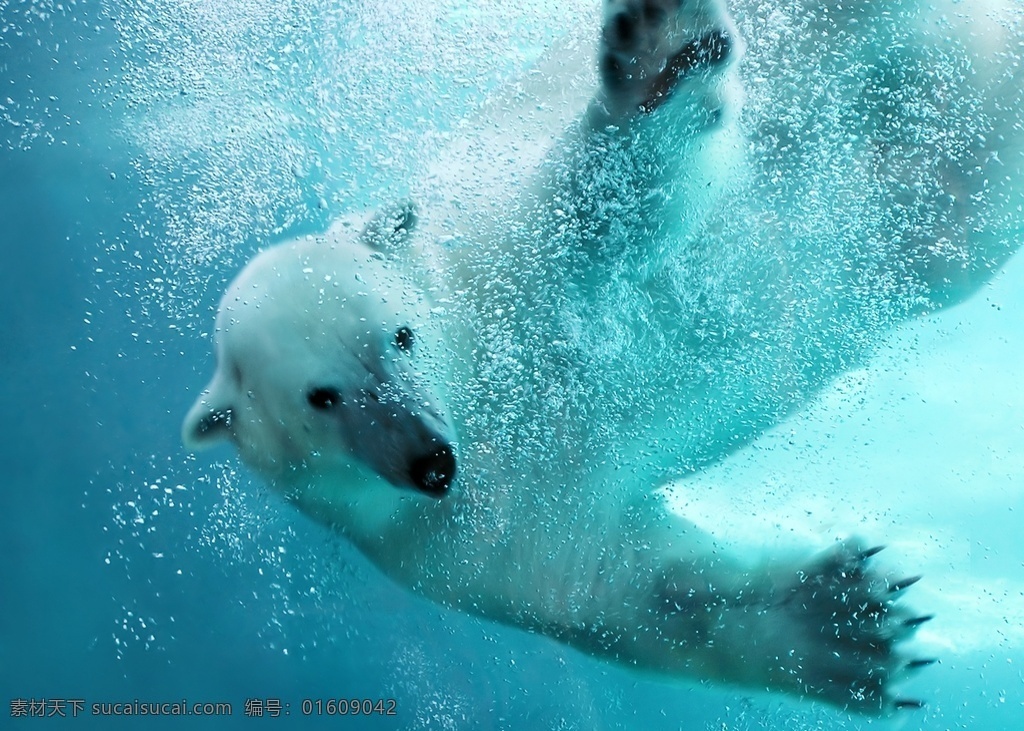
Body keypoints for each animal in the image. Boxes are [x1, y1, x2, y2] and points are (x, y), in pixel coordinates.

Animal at [182, 0, 1021, 716]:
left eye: (400, 335)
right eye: (321, 398)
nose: (432, 461)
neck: (480, 386)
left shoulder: (506, 254)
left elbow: (608, 200)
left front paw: (660, 56)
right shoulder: (460, 542)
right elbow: (630, 590)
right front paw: (847, 625)